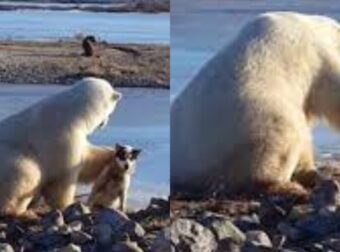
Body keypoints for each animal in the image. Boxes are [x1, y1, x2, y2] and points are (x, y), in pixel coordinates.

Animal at [0, 78, 121, 216]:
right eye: (111, 111)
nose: (104, 123)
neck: (74, 113)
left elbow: (87, 159)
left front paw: (113, 154)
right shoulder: (63, 136)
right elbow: (62, 177)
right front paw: (67, 204)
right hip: (10, 159)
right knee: (26, 172)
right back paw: (19, 211)